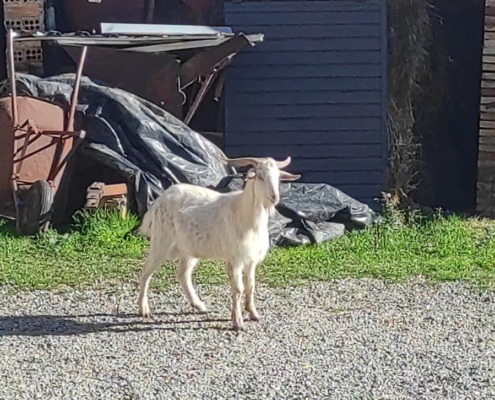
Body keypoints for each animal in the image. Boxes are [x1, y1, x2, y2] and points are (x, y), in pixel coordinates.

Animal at [136, 155, 300, 330]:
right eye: (260, 176)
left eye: (278, 177)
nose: (274, 197)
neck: (245, 214)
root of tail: (160, 199)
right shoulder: (236, 259)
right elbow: (238, 289)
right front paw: (238, 322)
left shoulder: (250, 259)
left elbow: (250, 286)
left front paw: (253, 314)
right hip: (161, 241)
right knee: (146, 272)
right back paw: (144, 309)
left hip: (188, 249)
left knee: (182, 273)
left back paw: (199, 305)